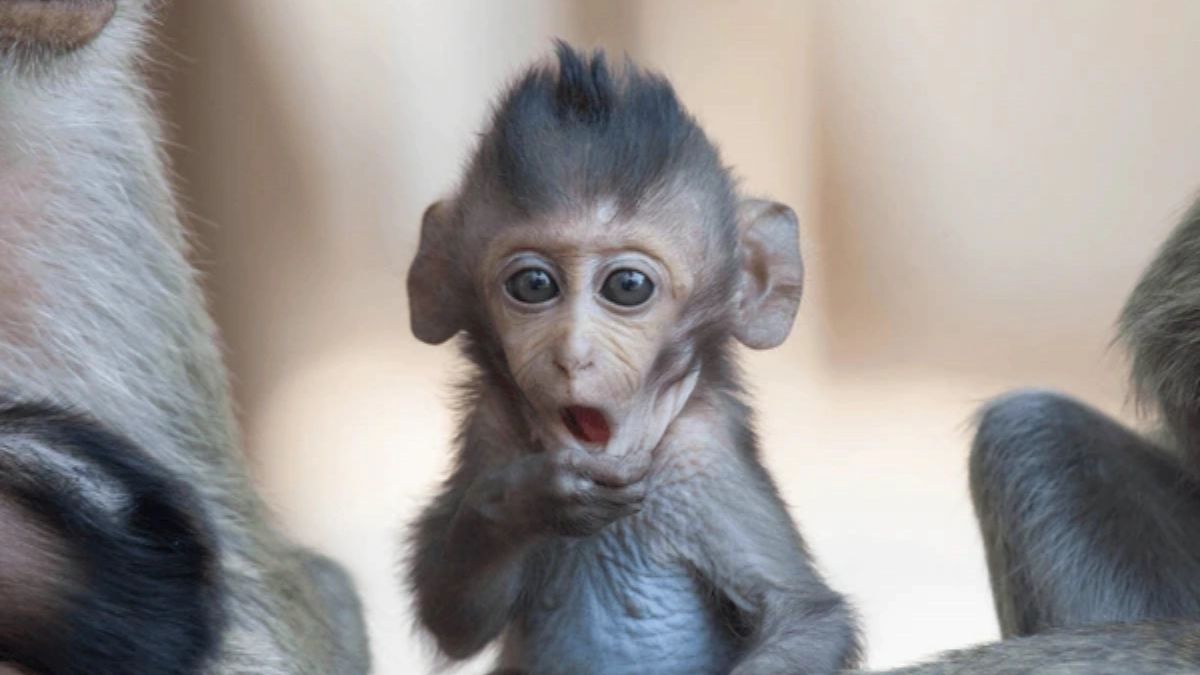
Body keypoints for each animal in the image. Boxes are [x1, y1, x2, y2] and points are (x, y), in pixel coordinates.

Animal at [404, 43, 860, 675]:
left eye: (627, 286)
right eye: (534, 284)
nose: (573, 355)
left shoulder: (701, 458)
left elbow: (807, 617)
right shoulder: (492, 428)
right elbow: (453, 615)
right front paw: (534, 499)